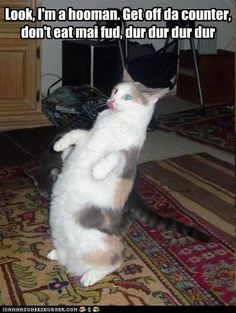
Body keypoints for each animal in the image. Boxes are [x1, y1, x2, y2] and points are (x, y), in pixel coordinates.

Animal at [47, 72, 169, 286]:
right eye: (115, 90)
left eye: (128, 97)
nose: (111, 101)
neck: (115, 121)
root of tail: (72, 264)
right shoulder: (87, 137)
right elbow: (76, 133)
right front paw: (60, 146)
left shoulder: (126, 158)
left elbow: (114, 155)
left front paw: (98, 171)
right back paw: (56, 254)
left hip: (105, 250)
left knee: (115, 262)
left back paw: (89, 277)